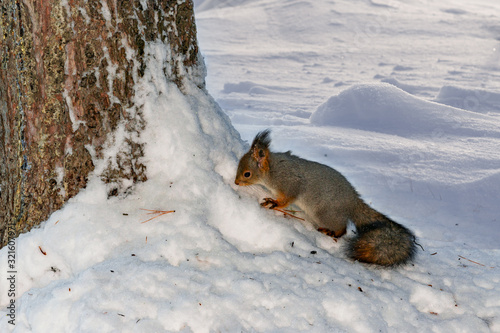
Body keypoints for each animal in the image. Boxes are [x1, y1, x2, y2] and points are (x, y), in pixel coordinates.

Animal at [236, 128, 416, 266]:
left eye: (247, 174)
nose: (236, 182)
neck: (272, 170)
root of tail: (353, 201)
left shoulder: (290, 183)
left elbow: (287, 199)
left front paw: (274, 203)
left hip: (325, 214)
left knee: (342, 227)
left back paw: (332, 232)